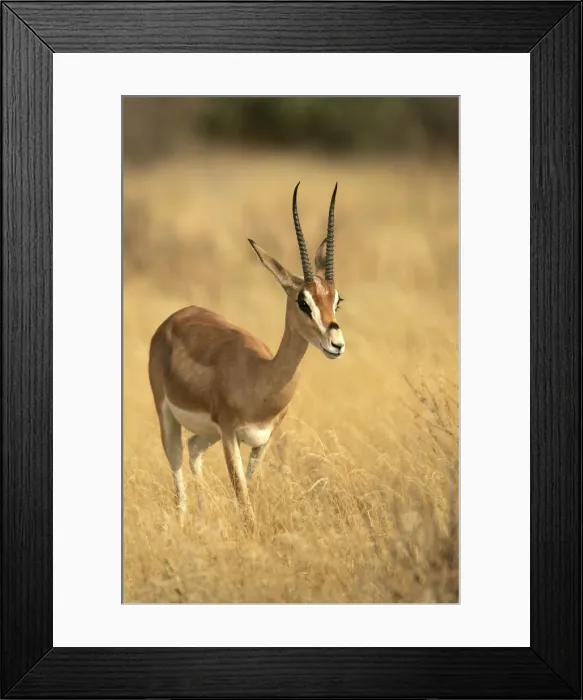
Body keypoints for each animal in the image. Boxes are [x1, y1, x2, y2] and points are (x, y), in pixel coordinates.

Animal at [148, 182, 345, 526]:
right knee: (177, 469)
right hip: (168, 416)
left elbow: (248, 491)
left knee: (193, 448)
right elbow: (242, 497)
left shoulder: (262, 441)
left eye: (337, 299)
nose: (336, 343)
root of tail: (173, 319)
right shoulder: (229, 434)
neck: (260, 378)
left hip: (207, 433)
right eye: (303, 301)